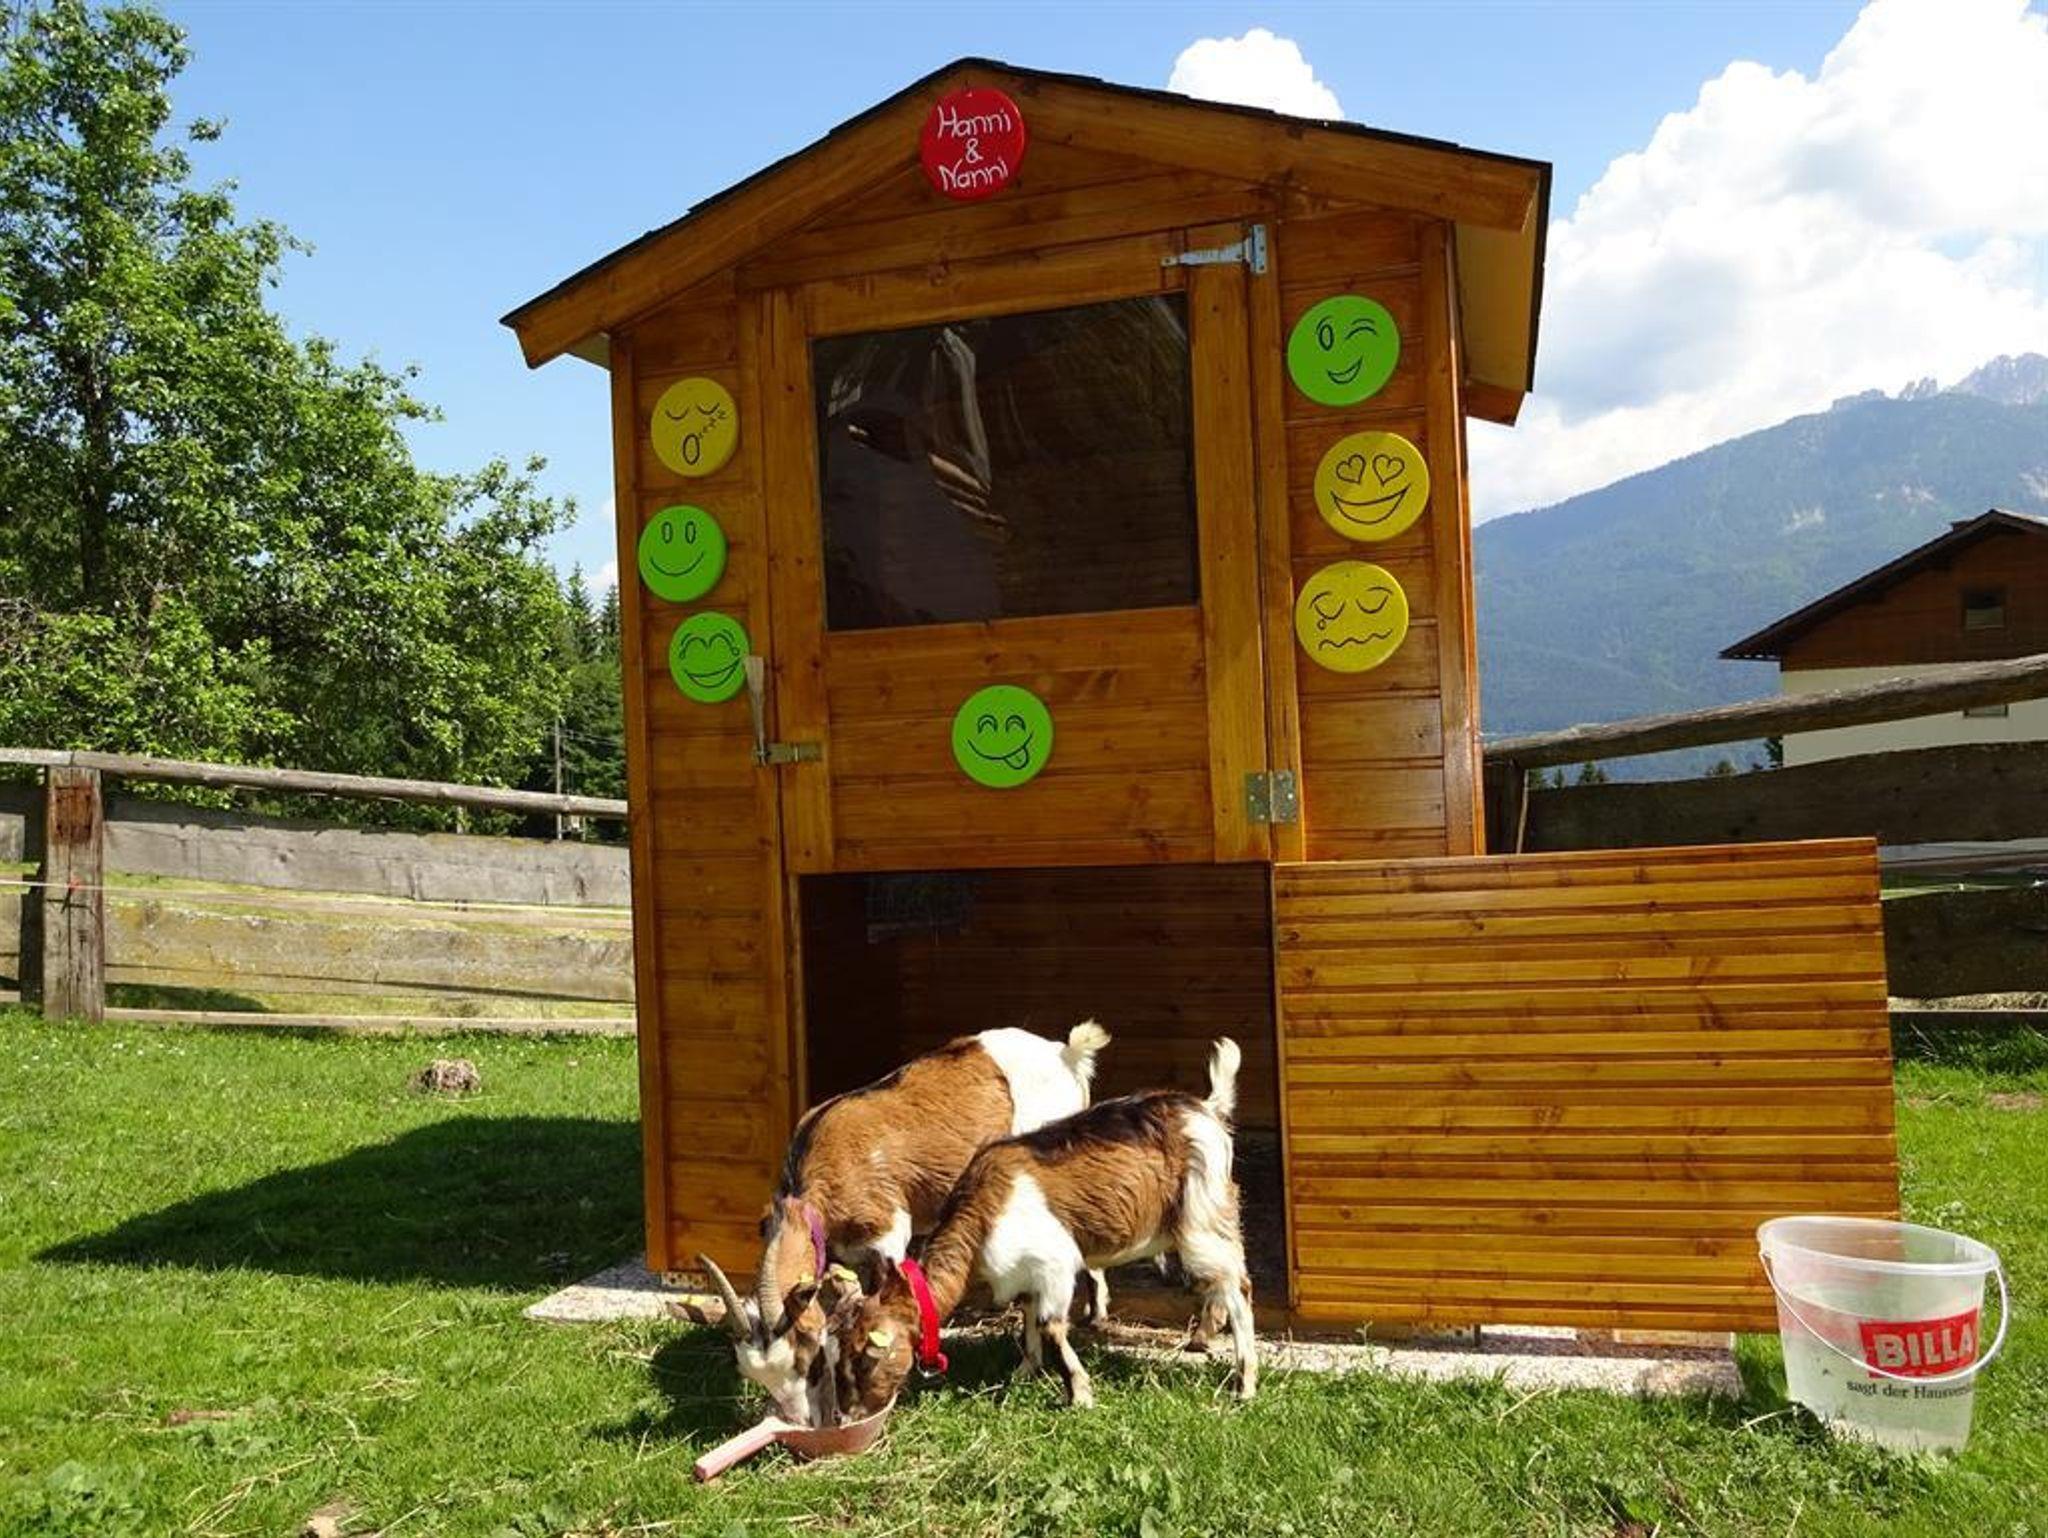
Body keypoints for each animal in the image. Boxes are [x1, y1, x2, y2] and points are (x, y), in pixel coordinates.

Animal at [696, 1021, 1112, 1426]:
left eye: (806, 1358)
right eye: (755, 1377)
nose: (800, 1421)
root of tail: (1066, 1053)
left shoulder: (890, 1234)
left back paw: (1037, 1359)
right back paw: (1089, 1317)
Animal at [832, 1037, 1256, 1415]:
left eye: (863, 1361)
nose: (849, 1413)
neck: (984, 1214)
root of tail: (1206, 1110)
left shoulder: (1054, 1265)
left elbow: (1050, 1325)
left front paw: (1079, 1395)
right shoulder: (1024, 1275)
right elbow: (1028, 1317)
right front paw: (1024, 1372)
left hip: (1200, 1220)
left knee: (1237, 1289)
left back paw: (1244, 1384)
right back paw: (1208, 1344)